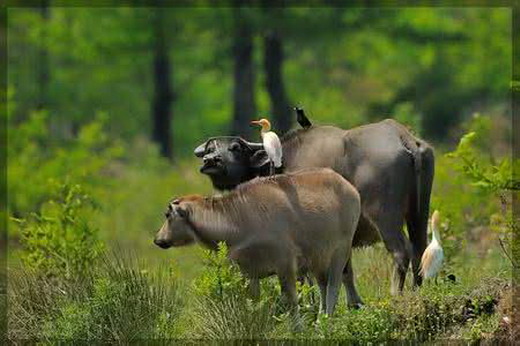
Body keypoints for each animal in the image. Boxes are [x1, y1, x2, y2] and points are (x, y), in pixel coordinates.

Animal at [195, 114, 434, 302]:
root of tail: (403, 137)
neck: (280, 164)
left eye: (235, 148)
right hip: (418, 214)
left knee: (401, 252)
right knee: (420, 250)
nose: (210, 160)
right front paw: (354, 303)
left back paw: (395, 294)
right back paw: (417, 292)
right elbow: (345, 272)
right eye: (210, 148)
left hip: (385, 218)